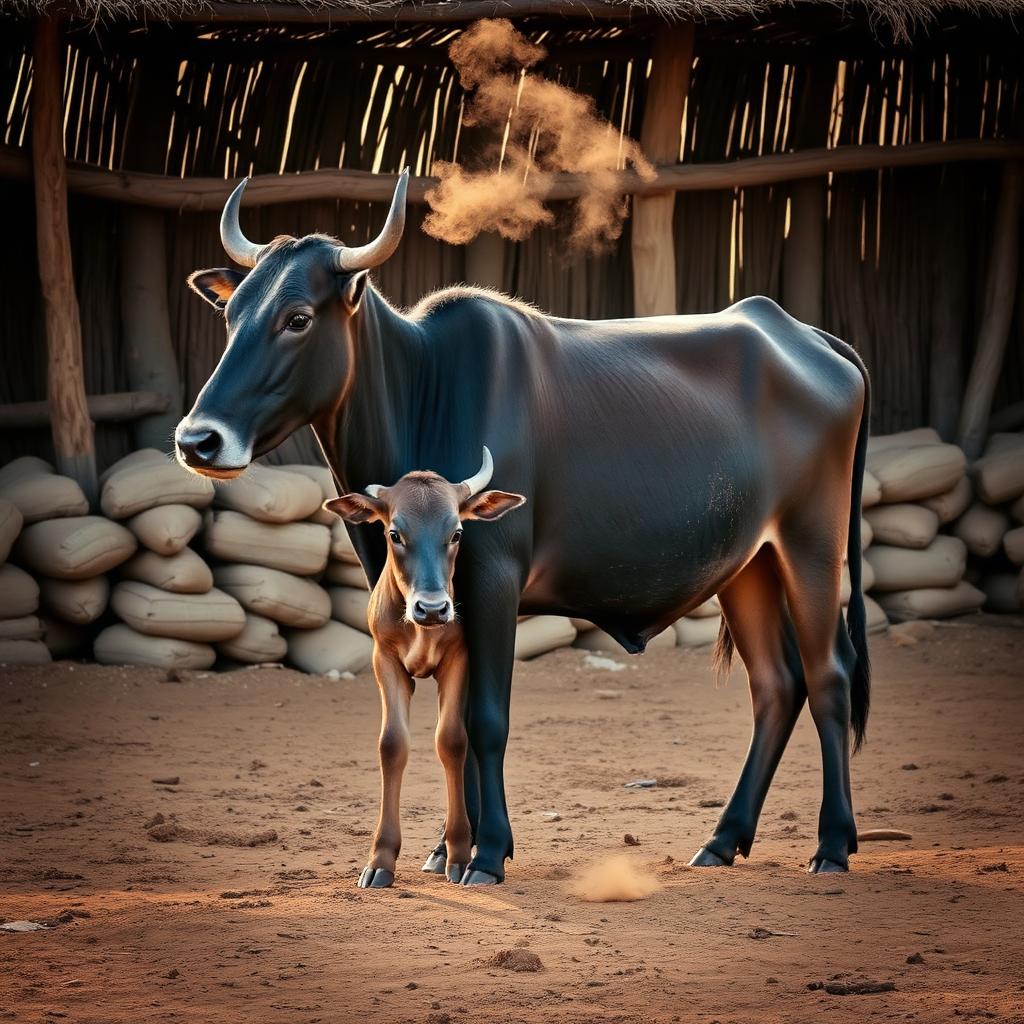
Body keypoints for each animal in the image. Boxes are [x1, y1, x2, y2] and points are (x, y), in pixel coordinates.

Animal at [325, 447, 526, 888]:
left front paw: (459, 853)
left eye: (457, 533)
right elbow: (391, 744)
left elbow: (451, 741)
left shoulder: (460, 659)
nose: (432, 608)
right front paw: (380, 859)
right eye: (394, 534)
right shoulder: (384, 659)